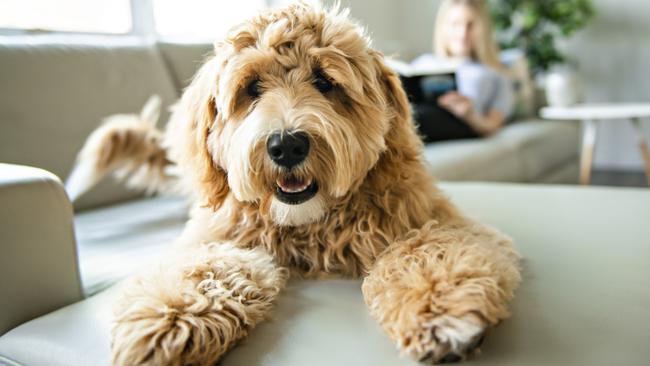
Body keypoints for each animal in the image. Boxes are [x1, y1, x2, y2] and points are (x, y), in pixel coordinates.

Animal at [68, 3, 520, 366]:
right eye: (251, 88)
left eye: (325, 82)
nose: (286, 146)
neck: (309, 226)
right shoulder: (216, 237)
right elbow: (206, 268)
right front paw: (170, 320)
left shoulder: (435, 219)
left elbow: (427, 250)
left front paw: (440, 309)